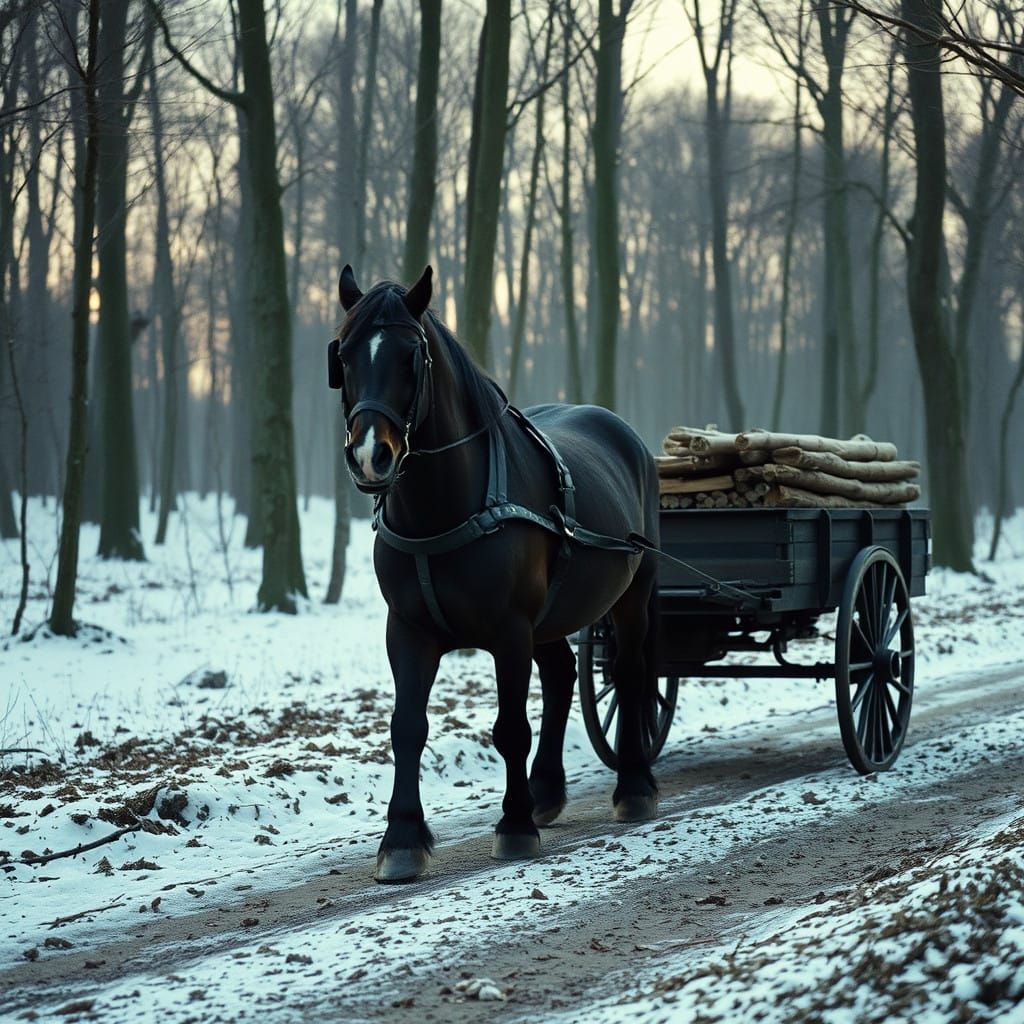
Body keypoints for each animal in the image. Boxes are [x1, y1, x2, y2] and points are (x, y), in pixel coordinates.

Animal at [328, 264, 661, 883]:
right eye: (344, 354)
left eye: (411, 356)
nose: (369, 456)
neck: (445, 509)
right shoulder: (407, 630)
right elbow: (407, 726)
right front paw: (402, 839)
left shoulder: (509, 631)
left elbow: (509, 728)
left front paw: (515, 825)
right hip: (552, 616)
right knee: (560, 676)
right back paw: (546, 790)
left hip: (632, 594)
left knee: (629, 675)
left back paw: (633, 786)